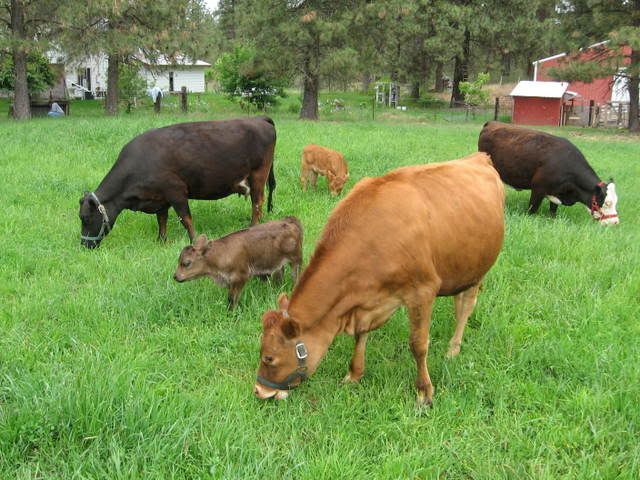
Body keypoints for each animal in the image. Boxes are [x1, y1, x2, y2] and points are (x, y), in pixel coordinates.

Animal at [79, 116, 277, 248]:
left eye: (85, 218)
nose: (84, 245)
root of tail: (258, 118)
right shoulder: (160, 198)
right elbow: (162, 220)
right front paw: (161, 241)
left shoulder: (177, 192)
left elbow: (186, 219)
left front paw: (194, 242)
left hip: (258, 175)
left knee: (257, 203)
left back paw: (253, 227)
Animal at [173, 217, 303, 308]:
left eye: (186, 263)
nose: (175, 276)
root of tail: (289, 221)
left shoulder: (240, 277)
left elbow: (232, 298)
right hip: (277, 263)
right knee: (279, 273)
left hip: (296, 260)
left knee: (295, 277)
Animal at [254, 153, 505, 406]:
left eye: (269, 358)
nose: (258, 390)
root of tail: (478, 157)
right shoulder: (367, 302)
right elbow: (361, 334)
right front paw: (354, 374)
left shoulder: (423, 291)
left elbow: (418, 344)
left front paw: (424, 391)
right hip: (462, 268)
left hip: (478, 269)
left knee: (465, 307)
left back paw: (453, 349)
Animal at [478, 121, 618, 225]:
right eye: (607, 202)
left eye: (616, 201)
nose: (615, 222)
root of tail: (492, 122)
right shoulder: (538, 188)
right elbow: (532, 209)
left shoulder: (557, 192)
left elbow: (553, 210)